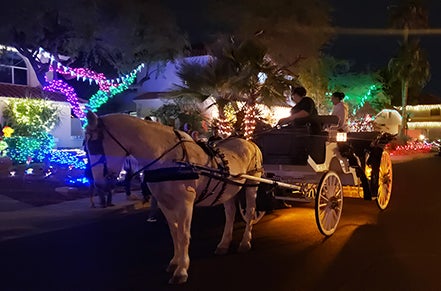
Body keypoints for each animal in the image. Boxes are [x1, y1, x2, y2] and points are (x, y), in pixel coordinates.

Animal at [84, 112, 262, 286]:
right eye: (85, 147)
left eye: (94, 145)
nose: (99, 185)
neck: (167, 159)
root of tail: (249, 142)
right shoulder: (164, 203)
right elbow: (174, 233)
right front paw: (175, 262)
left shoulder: (185, 203)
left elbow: (183, 235)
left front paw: (181, 270)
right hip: (229, 189)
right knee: (230, 214)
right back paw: (224, 244)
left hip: (252, 183)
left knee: (250, 211)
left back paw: (245, 242)